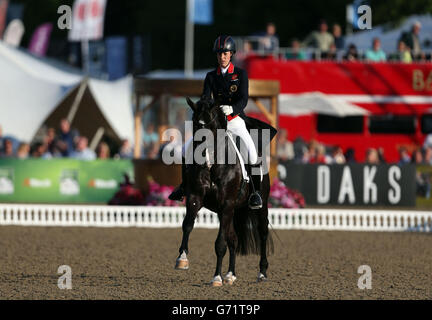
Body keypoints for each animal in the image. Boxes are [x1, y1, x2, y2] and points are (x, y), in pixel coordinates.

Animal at [173, 95, 272, 284]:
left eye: (209, 125)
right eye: (195, 124)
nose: (200, 157)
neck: (213, 164)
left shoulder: (227, 204)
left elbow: (220, 243)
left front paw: (216, 277)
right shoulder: (196, 198)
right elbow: (187, 225)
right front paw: (182, 259)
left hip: (259, 206)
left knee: (262, 233)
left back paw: (262, 272)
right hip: (228, 211)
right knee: (233, 238)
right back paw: (230, 274)